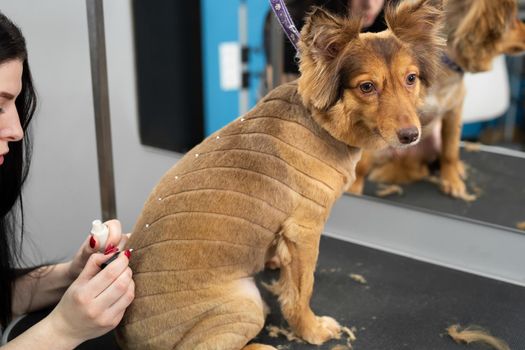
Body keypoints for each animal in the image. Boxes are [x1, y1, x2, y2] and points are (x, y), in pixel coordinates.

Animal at [117, 1, 442, 348]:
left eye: (411, 79)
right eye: (367, 87)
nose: (411, 135)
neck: (319, 123)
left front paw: (273, 258)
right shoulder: (305, 229)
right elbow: (301, 290)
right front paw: (311, 329)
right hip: (246, 304)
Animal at [350, 0, 524, 200]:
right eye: (513, 21)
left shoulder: (453, 112)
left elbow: (450, 151)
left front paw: (452, 181)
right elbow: (360, 166)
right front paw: (354, 189)